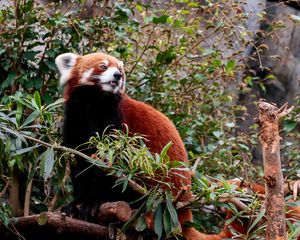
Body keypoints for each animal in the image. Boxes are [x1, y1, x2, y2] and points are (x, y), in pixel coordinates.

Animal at [54, 53, 225, 240]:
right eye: (103, 66)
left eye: (119, 69)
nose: (118, 76)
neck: (93, 105)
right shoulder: (75, 125)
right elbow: (80, 166)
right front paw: (76, 203)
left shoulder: (116, 126)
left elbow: (108, 170)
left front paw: (92, 203)